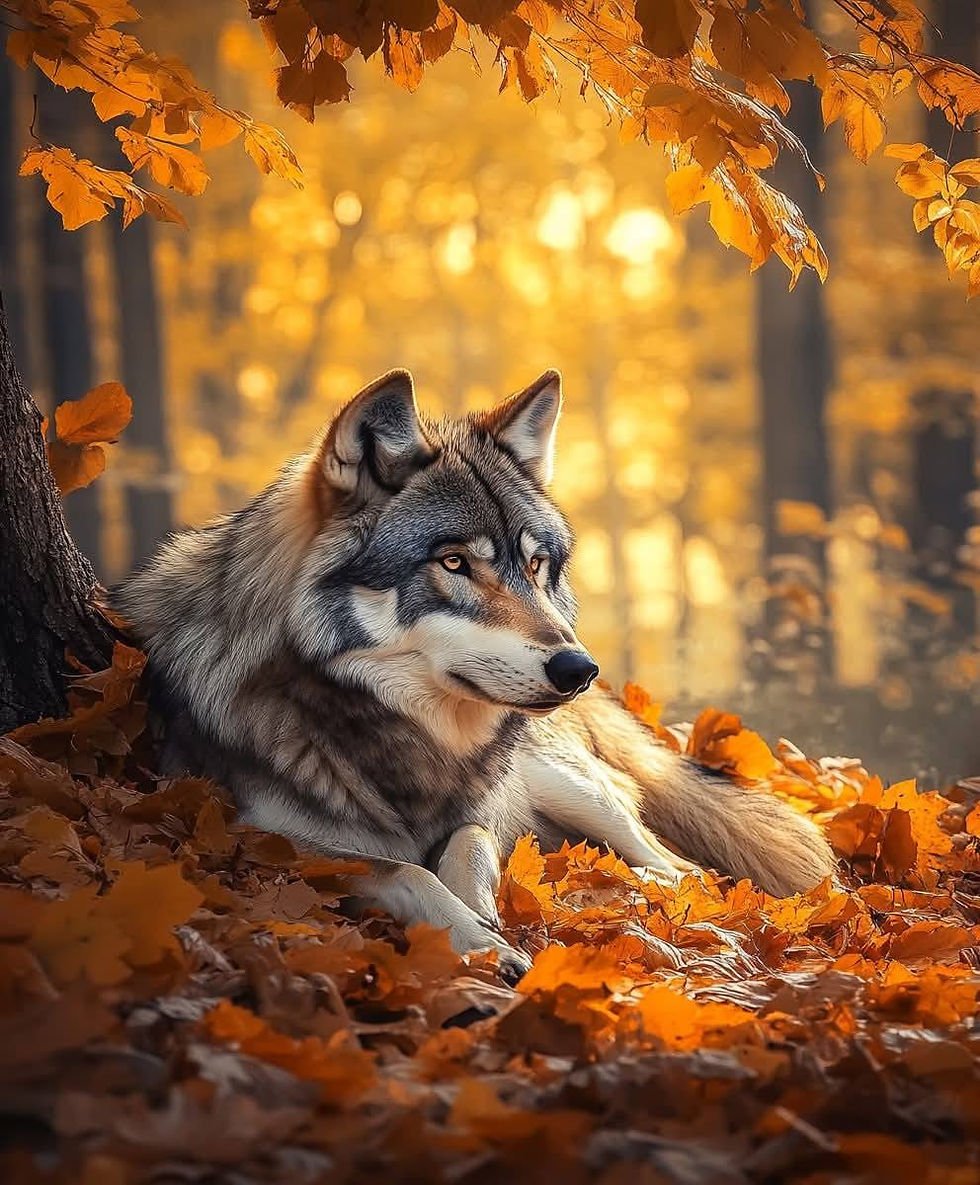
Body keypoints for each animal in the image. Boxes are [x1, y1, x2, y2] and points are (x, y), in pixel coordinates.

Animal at [116, 369, 836, 979]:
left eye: (538, 565)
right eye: (456, 562)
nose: (579, 666)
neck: (396, 739)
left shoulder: (479, 811)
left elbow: (466, 845)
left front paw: (490, 922)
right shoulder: (267, 842)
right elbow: (408, 872)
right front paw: (482, 940)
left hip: (567, 785)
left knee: (676, 865)